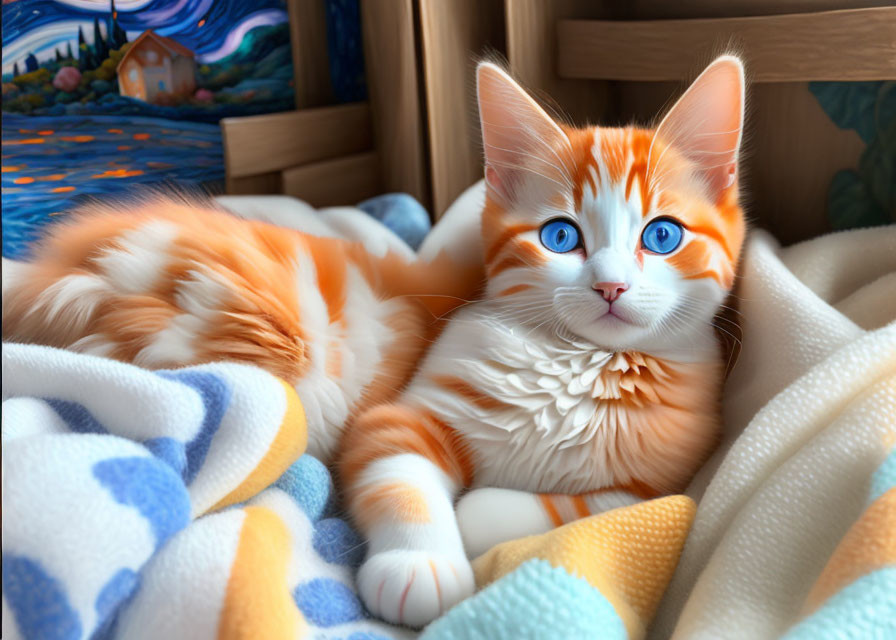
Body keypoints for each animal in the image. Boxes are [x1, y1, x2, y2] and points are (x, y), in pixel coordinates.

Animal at [340, 57, 744, 628]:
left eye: (662, 235)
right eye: (560, 237)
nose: (611, 285)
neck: (580, 361)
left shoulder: (659, 485)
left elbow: (580, 510)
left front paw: (478, 511)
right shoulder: (409, 408)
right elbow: (397, 469)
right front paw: (418, 564)